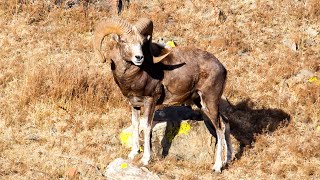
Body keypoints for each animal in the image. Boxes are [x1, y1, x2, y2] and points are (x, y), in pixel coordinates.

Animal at [92, 17, 232, 172]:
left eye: (141, 42)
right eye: (123, 41)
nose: (139, 57)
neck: (135, 75)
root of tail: (222, 68)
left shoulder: (150, 101)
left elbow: (146, 127)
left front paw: (145, 159)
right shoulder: (134, 104)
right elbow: (135, 125)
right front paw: (133, 153)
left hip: (210, 101)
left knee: (220, 128)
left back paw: (217, 167)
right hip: (201, 103)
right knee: (225, 123)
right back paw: (227, 160)